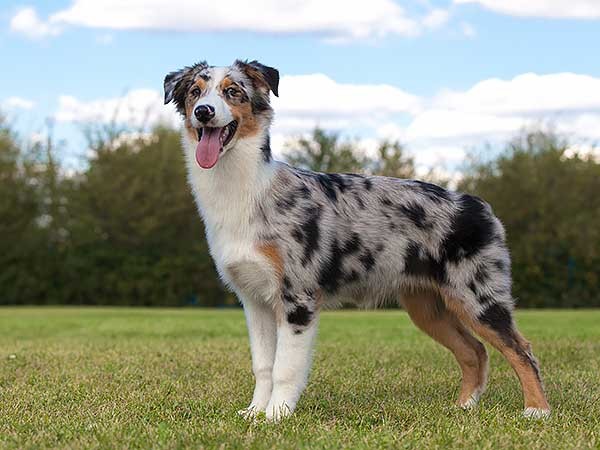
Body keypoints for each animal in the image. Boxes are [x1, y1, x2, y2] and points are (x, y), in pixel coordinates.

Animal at [162, 59, 552, 422]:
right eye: (195, 92)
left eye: (233, 92)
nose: (204, 112)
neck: (244, 190)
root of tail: (478, 203)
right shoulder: (254, 301)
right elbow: (263, 366)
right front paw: (255, 412)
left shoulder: (297, 299)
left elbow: (285, 368)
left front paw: (276, 417)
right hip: (428, 307)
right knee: (475, 351)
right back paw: (464, 407)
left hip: (478, 297)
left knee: (522, 350)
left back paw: (537, 410)